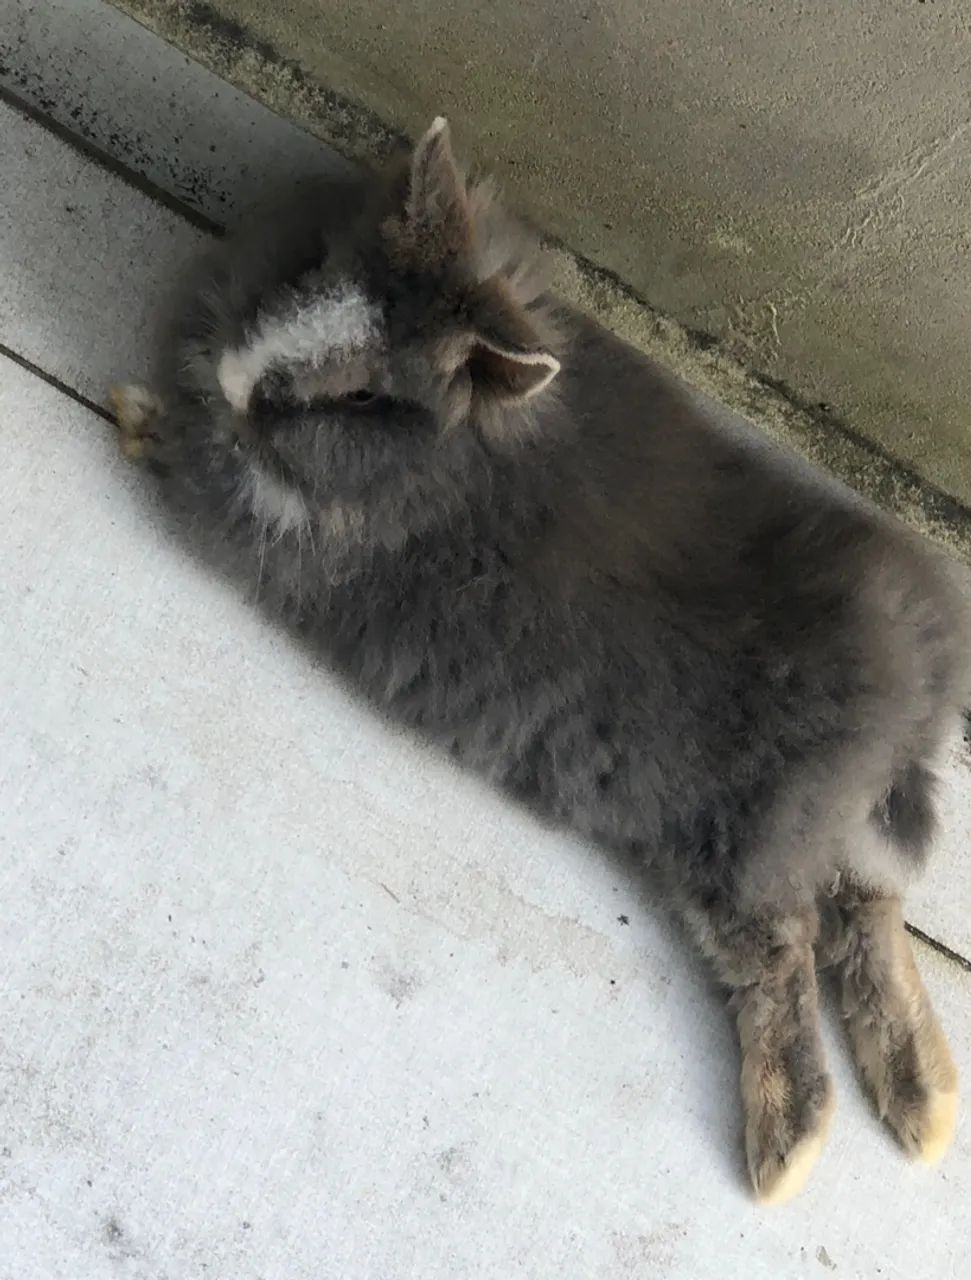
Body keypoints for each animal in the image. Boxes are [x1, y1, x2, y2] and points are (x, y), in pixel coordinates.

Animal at [107, 117, 969, 1204]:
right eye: (312, 266)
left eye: (361, 394)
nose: (235, 378)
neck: (453, 456)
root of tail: (919, 698)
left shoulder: (262, 525)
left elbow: (190, 463)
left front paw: (133, 411)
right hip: (817, 845)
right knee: (867, 916)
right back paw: (925, 1107)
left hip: (741, 858)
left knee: (784, 968)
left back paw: (786, 1153)